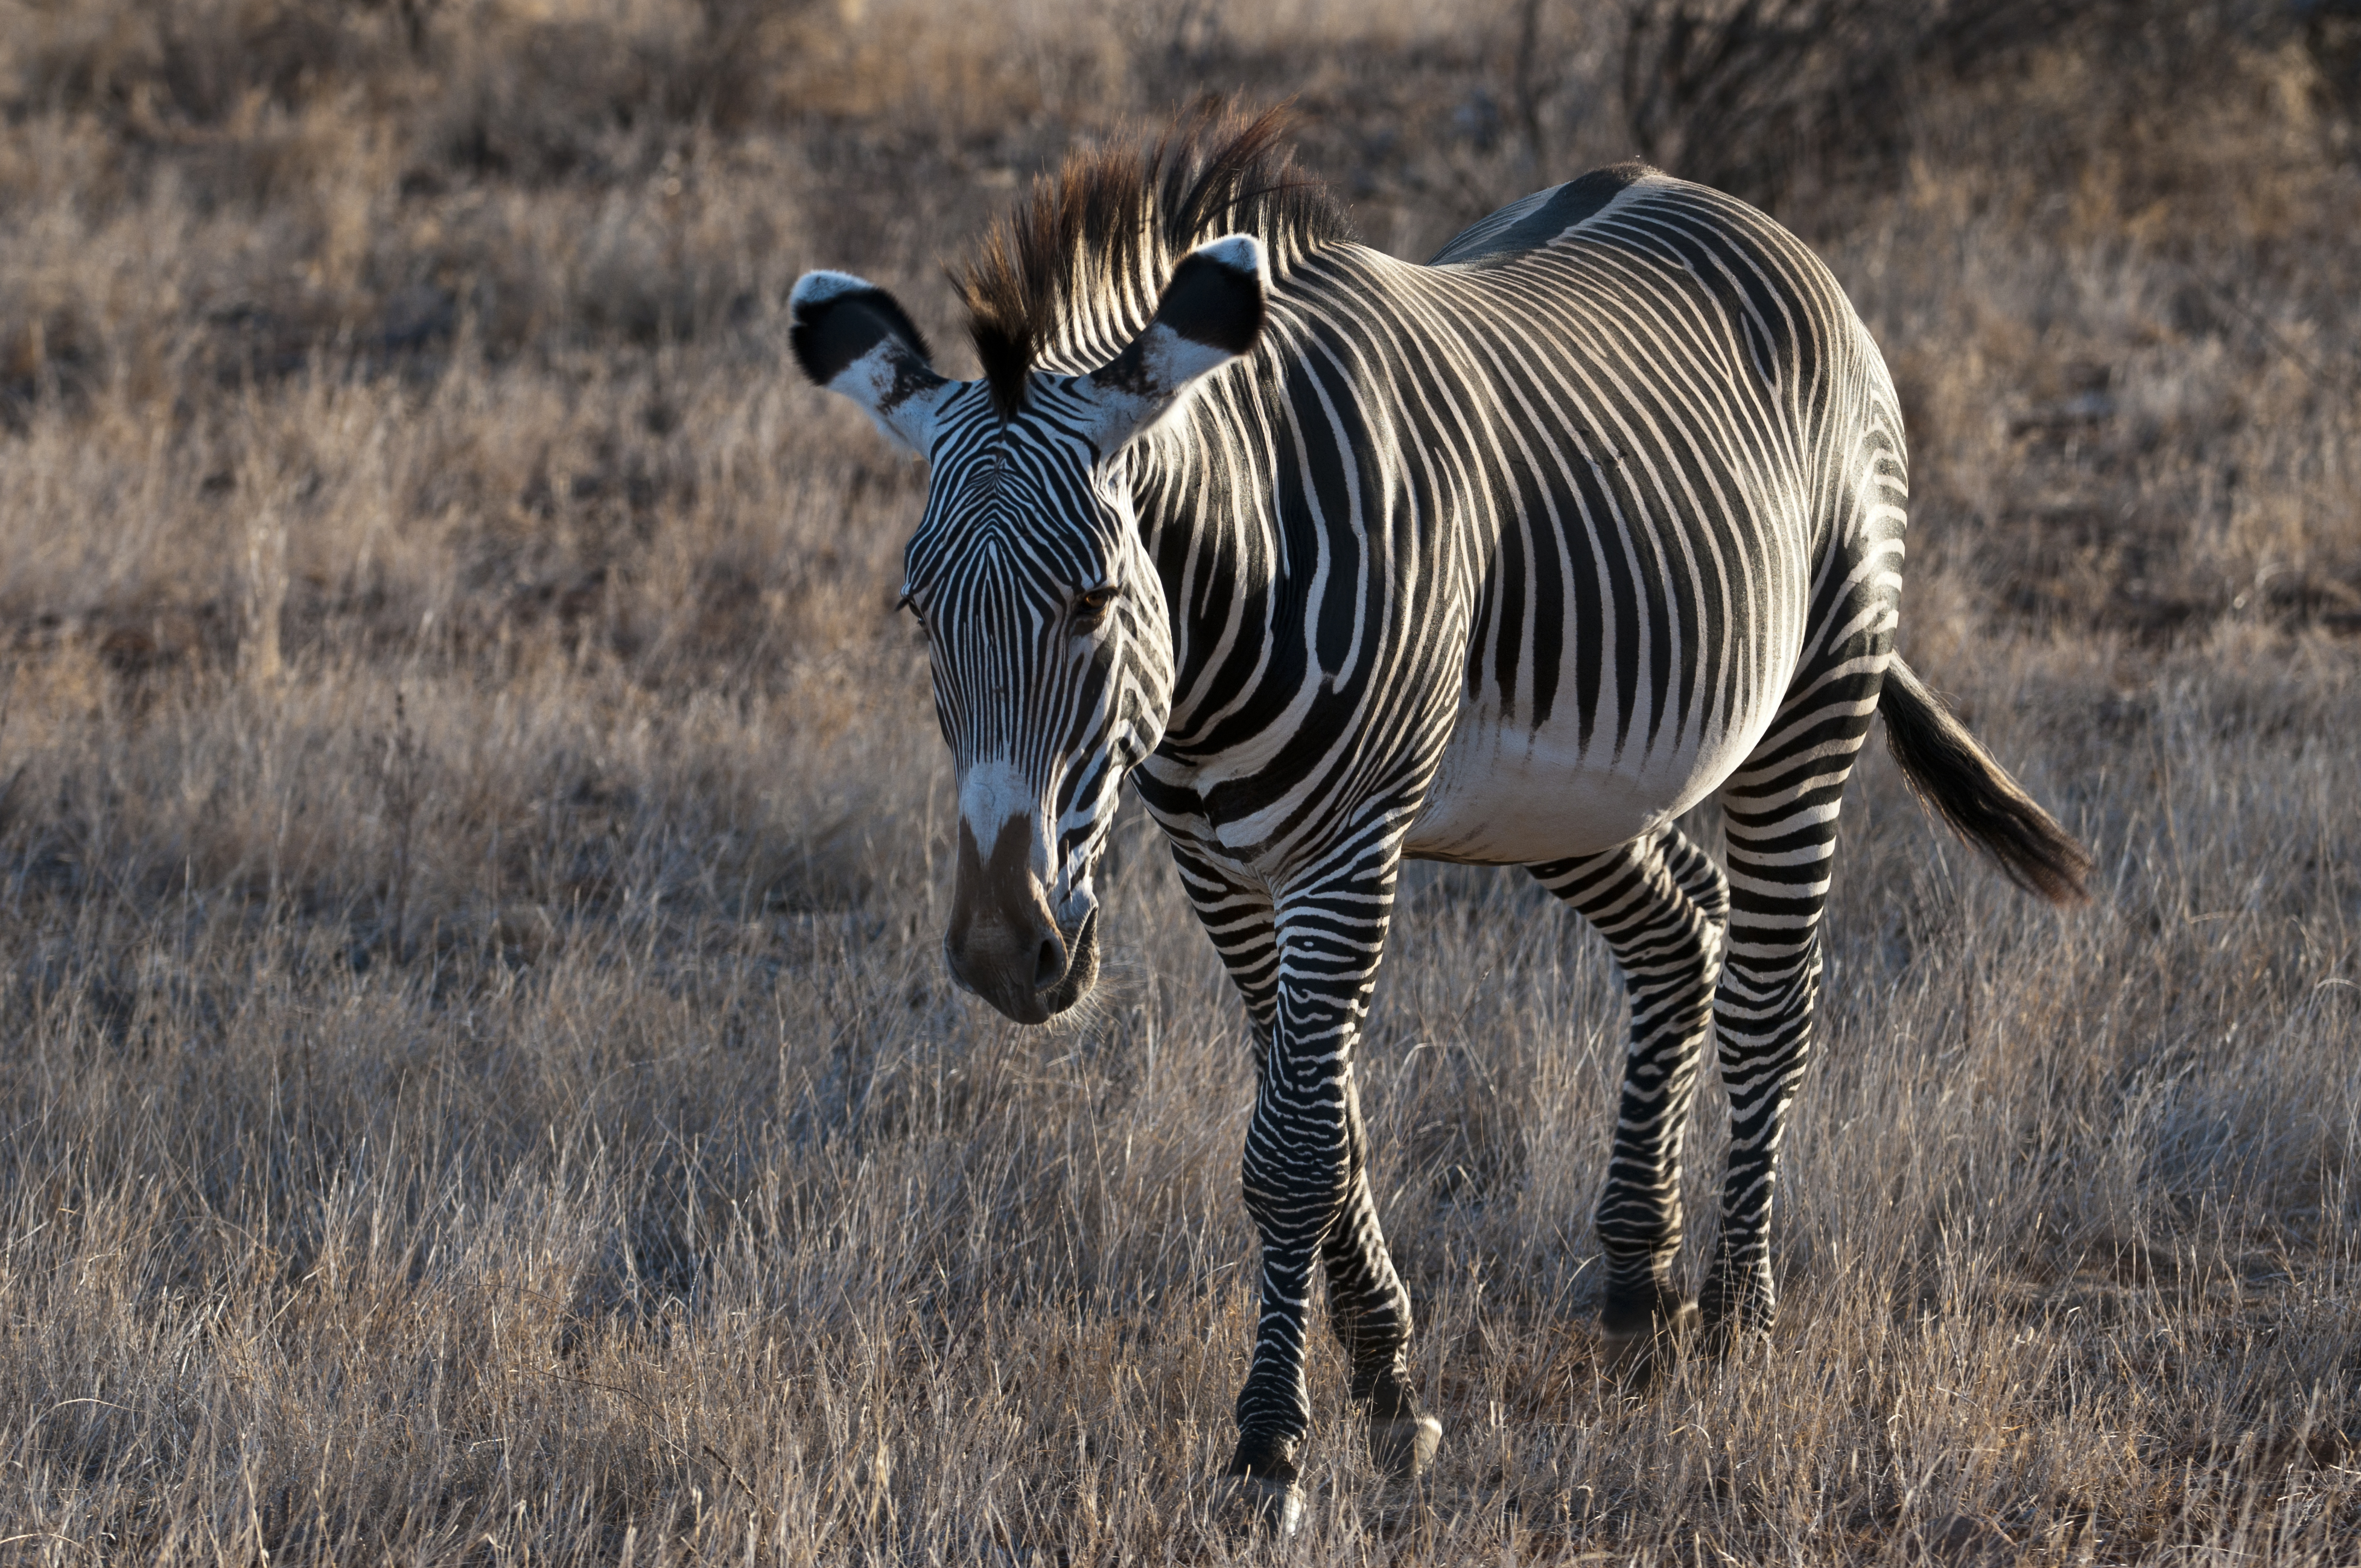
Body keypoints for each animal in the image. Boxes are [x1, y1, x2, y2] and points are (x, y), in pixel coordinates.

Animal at [787, 108, 2089, 1530]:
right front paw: (1388, 1386)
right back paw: (1637, 1292)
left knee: (1771, 995)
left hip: (1817, 690)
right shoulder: (1217, 867)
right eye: (916, 611)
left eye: (1090, 601)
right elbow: (1330, 1124)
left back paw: (1736, 1317)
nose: (996, 955)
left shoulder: (1346, 849)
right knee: (1678, 933)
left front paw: (1272, 1445)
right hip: (1569, 790)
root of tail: (1726, 206)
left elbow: (1293, 1149)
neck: (1211, 649)